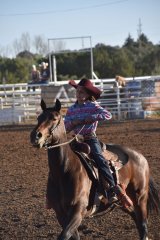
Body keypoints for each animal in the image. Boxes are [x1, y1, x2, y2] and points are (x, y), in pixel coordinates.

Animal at [30, 98, 160, 239]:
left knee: (143, 224)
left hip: (140, 197)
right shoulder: (61, 214)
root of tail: (141, 156)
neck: (64, 171)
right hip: (124, 201)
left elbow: (64, 235)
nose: (35, 136)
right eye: (38, 118)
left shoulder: (78, 211)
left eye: (54, 118)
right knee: (136, 219)